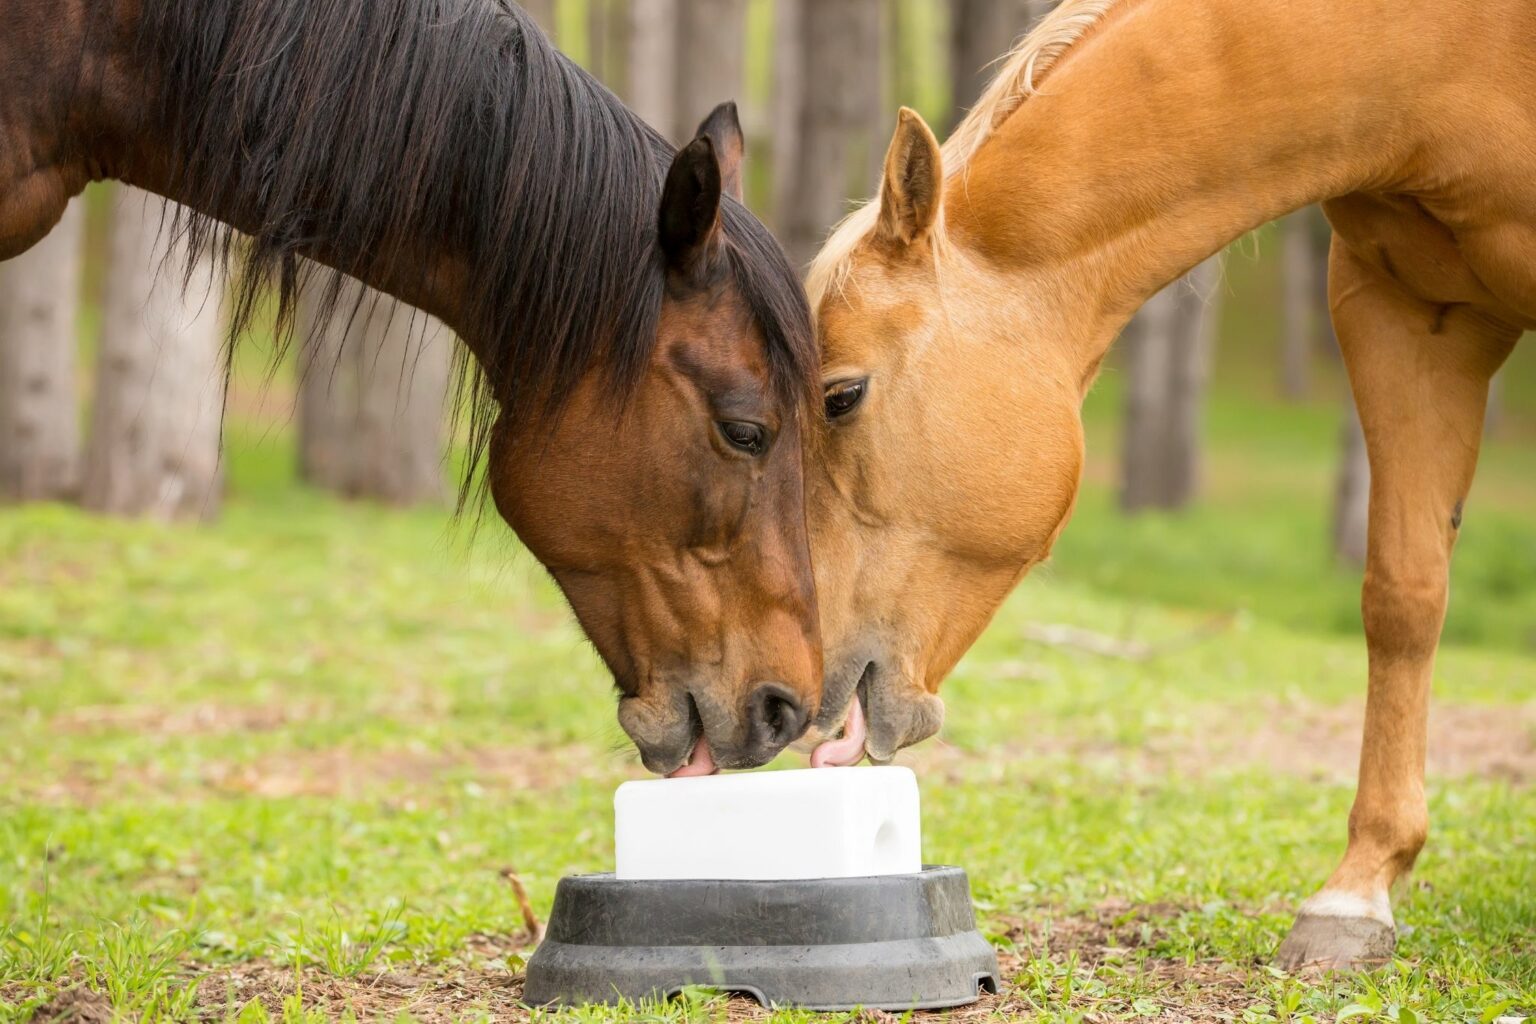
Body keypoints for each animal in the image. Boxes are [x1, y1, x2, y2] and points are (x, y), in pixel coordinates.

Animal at [803, 0, 1528, 969]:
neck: (1438, 57)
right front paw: (1357, 893)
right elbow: (1404, 597)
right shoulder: (1405, 313)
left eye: (840, 396)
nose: (801, 680)